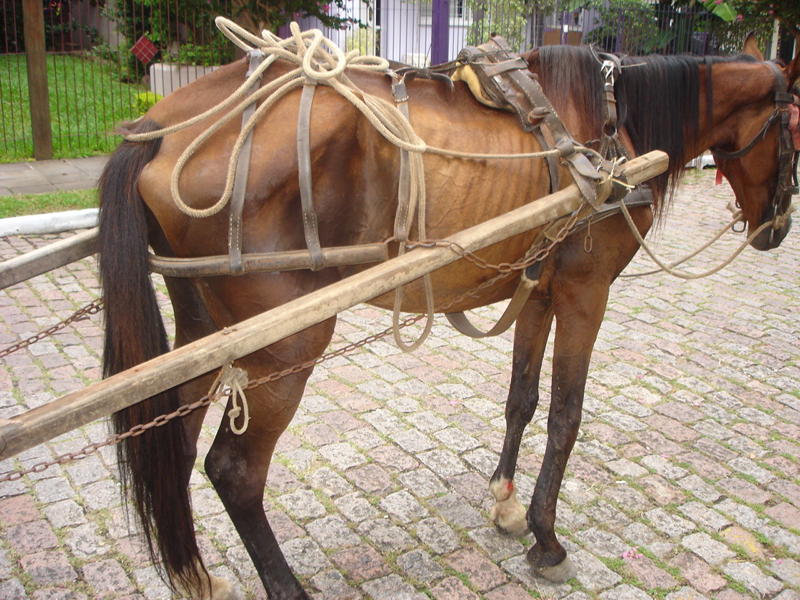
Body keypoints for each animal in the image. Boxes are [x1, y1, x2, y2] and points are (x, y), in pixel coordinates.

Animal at [97, 26, 798, 599]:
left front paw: (507, 502)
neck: (607, 126)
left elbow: (523, 398)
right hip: (286, 345)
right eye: (794, 129)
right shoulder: (585, 290)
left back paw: (194, 575)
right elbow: (566, 414)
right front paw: (546, 537)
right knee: (234, 472)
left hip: (203, 330)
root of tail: (161, 132)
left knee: (176, 439)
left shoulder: (539, 288)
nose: (778, 228)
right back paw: (284, 584)